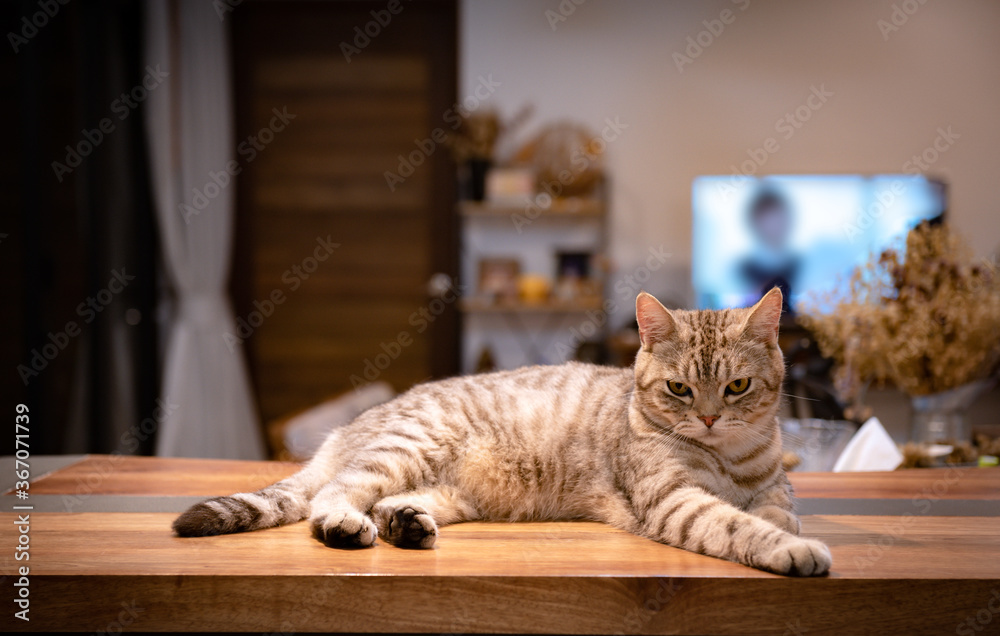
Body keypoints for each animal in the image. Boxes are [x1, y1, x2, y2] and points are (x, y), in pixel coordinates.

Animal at [178, 288, 828, 576]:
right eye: (678, 390)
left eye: (737, 386)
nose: (711, 418)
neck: (729, 460)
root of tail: (349, 426)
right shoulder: (673, 500)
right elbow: (737, 524)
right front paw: (790, 549)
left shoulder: (774, 486)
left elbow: (777, 512)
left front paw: (781, 528)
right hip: (401, 452)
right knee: (331, 497)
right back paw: (346, 525)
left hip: (448, 490)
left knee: (388, 502)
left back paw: (405, 524)